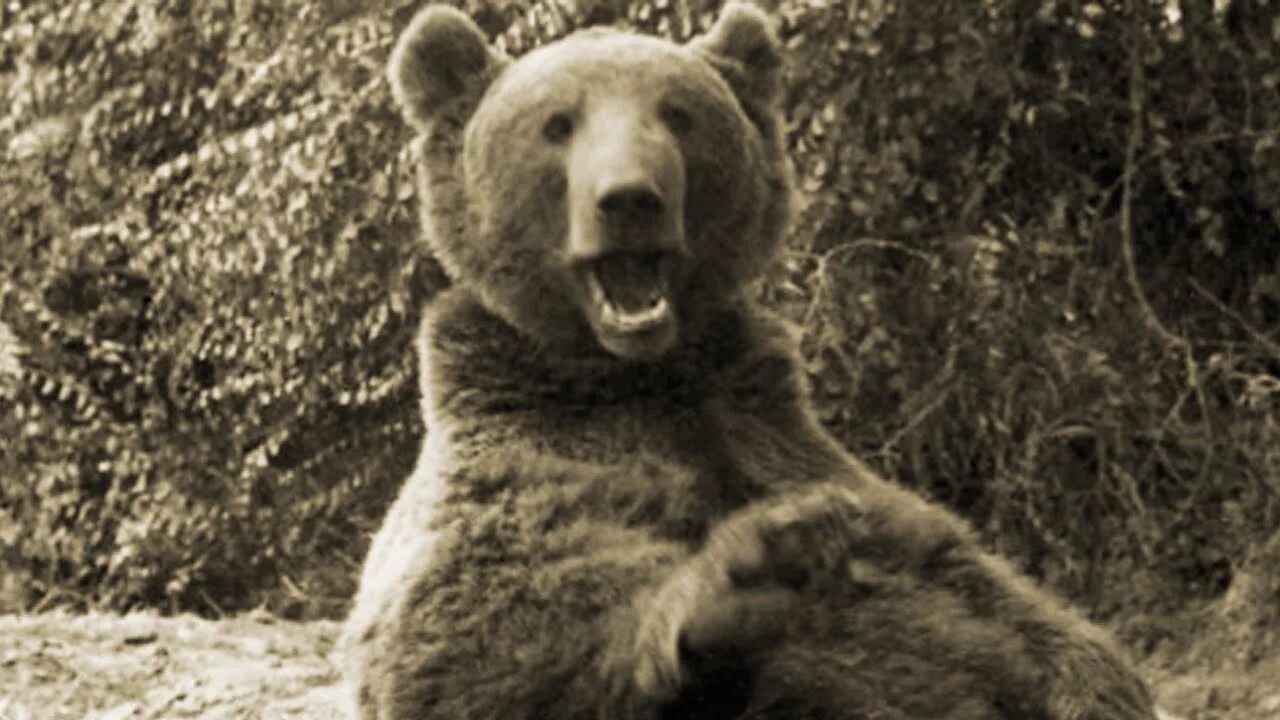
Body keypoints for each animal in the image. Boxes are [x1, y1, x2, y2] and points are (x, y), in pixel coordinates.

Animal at [335, 3, 1159, 719]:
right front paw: (753, 570)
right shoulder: (520, 459)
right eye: (557, 124)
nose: (629, 198)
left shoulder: (777, 437)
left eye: (677, 113)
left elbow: (984, 587)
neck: (643, 374)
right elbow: (475, 637)